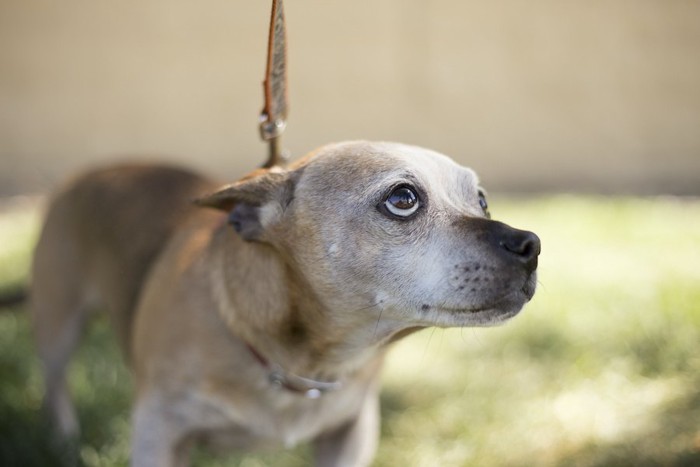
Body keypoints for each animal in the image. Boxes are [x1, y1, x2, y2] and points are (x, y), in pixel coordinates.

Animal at [28, 141, 540, 466]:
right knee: (54, 381)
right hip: (58, 324)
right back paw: (63, 437)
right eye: (403, 198)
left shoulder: (350, 436)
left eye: (482, 200)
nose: (530, 244)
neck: (302, 362)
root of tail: (93, 170)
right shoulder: (159, 433)